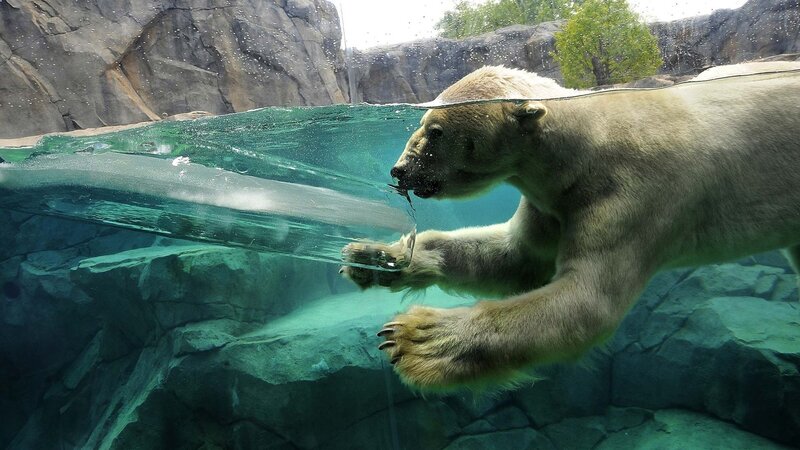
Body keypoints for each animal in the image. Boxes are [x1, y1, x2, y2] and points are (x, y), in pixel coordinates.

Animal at [342, 64, 800, 390]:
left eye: (435, 131)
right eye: (422, 124)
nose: (399, 170)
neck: (585, 149)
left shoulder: (630, 196)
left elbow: (586, 300)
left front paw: (417, 338)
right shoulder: (552, 201)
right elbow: (515, 256)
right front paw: (374, 256)